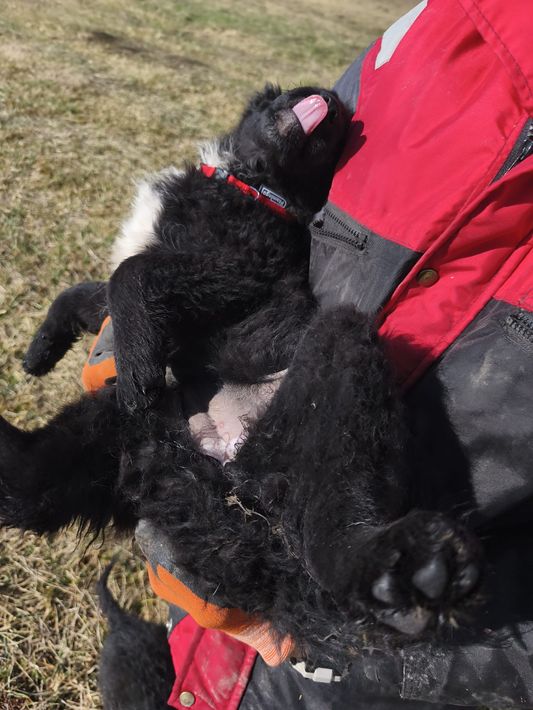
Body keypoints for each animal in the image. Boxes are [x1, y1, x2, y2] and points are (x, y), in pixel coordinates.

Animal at [0, 84, 481, 666]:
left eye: (333, 135)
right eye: (298, 95)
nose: (327, 98)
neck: (249, 184)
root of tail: (214, 476)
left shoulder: (236, 269)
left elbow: (130, 274)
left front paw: (137, 367)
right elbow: (91, 292)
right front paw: (42, 349)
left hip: (336, 361)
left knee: (333, 519)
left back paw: (399, 571)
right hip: (117, 433)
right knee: (27, 484)